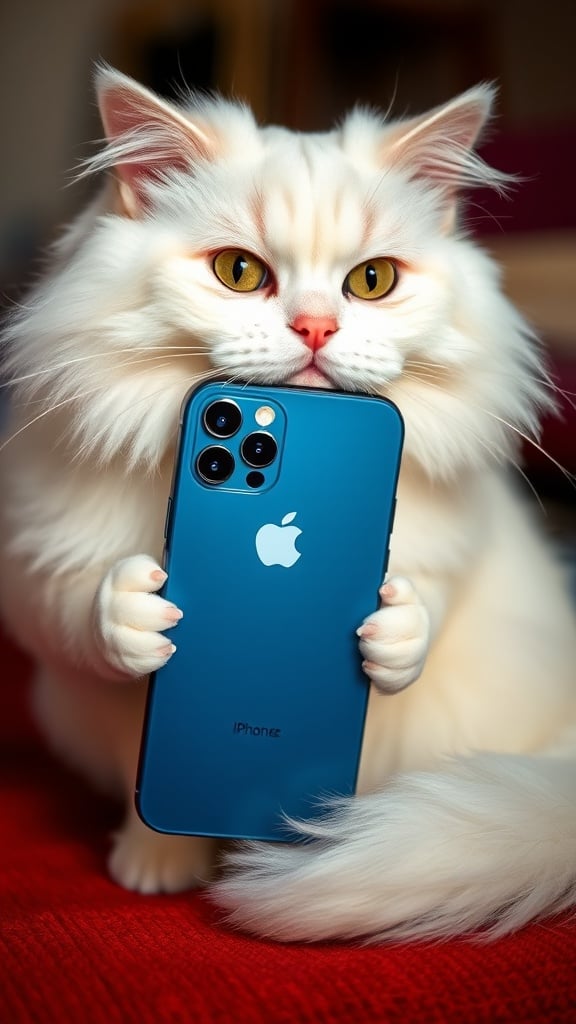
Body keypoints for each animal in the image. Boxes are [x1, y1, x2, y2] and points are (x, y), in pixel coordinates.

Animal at [1, 66, 573, 942]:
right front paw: (135, 621)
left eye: (372, 281)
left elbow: (423, 612)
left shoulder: (452, 549)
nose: (315, 328)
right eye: (239, 272)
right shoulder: (35, 562)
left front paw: (392, 636)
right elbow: (81, 618)